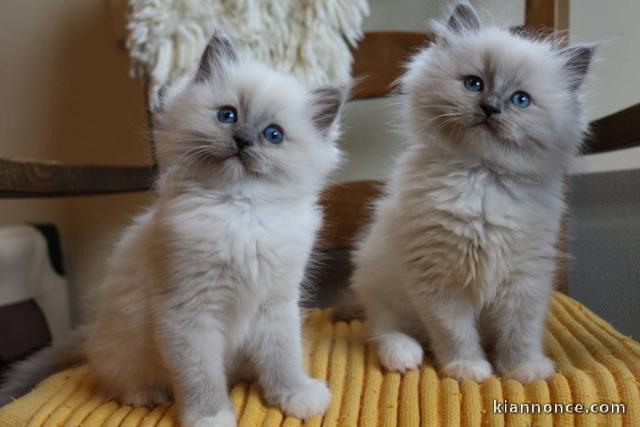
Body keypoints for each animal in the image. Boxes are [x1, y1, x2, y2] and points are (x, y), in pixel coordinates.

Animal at [0, 30, 348, 427]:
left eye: (273, 135)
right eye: (227, 115)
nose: (243, 140)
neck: (240, 211)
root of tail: (91, 333)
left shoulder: (276, 303)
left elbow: (283, 357)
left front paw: (295, 396)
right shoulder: (188, 311)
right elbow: (200, 376)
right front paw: (211, 417)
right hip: (122, 350)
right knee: (117, 380)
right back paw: (146, 395)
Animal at [350, 3, 596, 384]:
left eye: (521, 100)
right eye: (473, 83)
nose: (491, 107)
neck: (483, 178)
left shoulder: (525, 279)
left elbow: (520, 333)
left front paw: (523, 369)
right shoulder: (439, 277)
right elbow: (455, 332)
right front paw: (467, 368)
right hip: (381, 283)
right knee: (383, 329)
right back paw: (404, 356)